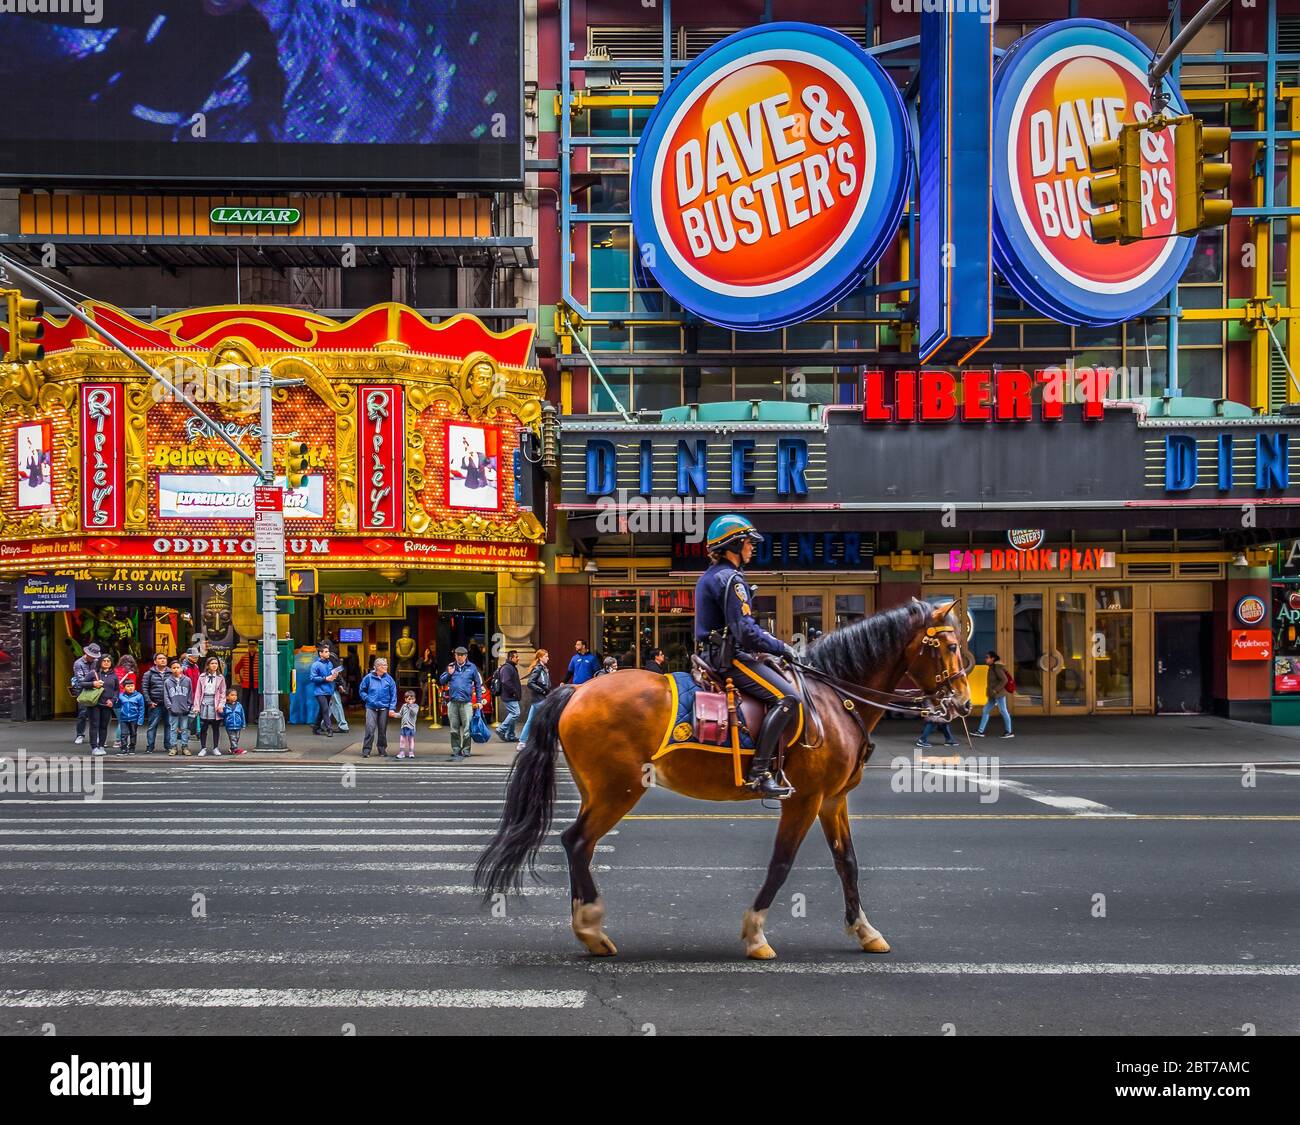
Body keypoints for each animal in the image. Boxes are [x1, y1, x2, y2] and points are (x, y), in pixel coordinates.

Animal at [473, 598, 972, 957]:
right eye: (948, 646)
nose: (965, 704)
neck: (835, 698)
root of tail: (576, 689)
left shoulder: (833, 800)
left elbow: (846, 862)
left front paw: (865, 930)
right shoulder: (804, 798)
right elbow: (781, 864)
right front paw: (755, 935)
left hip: (601, 790)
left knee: (579, 845)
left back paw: (589, 930)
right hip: (619, 789)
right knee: (577, 841)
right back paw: (591, 929)